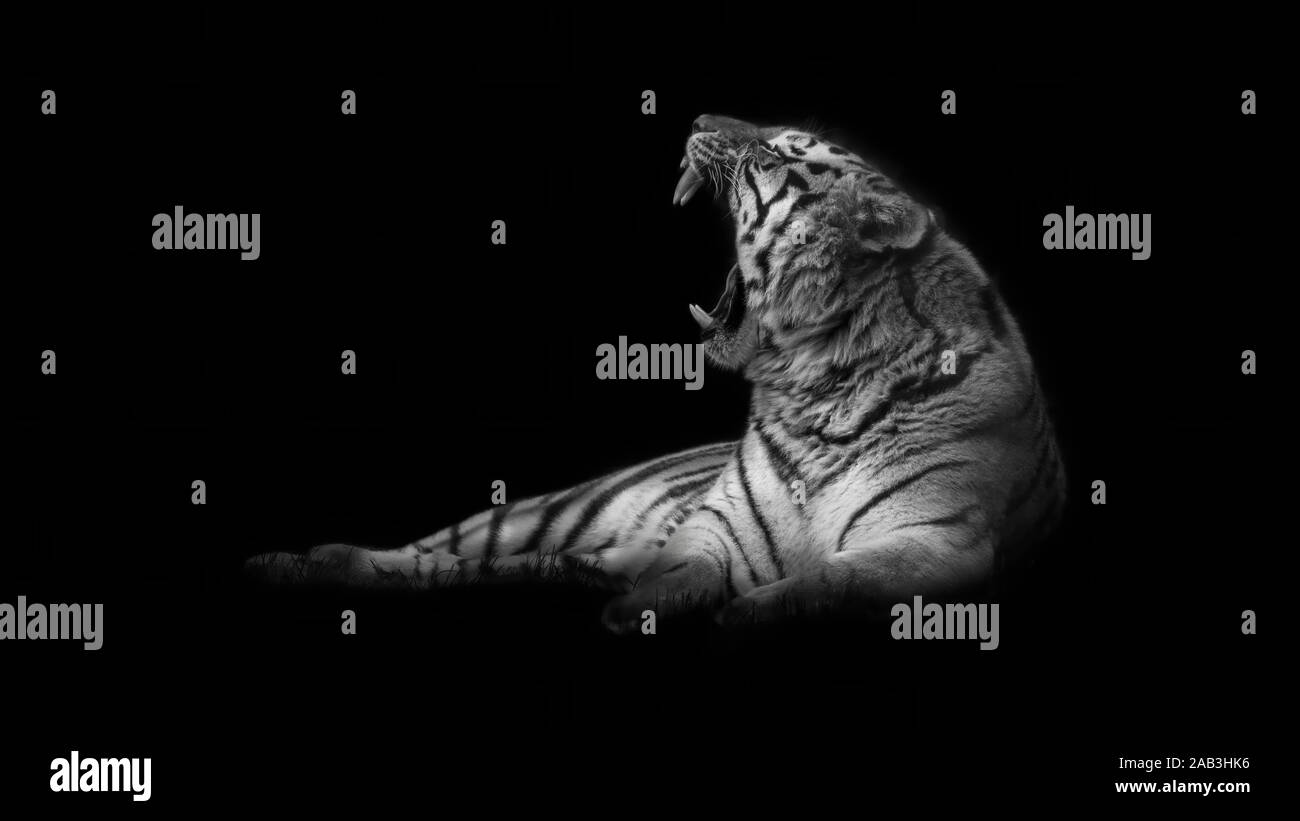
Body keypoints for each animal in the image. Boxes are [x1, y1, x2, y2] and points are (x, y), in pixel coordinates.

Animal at [247, 114, 1066, 633]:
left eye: (779, 154)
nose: (700, 115)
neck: (812, 382)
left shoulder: (940, 540)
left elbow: (839, 575)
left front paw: (750, 611)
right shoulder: (717, 524)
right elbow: (685, 569)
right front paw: (647, 606)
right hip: (537, 510)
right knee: (430, 553)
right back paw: (297, 562)